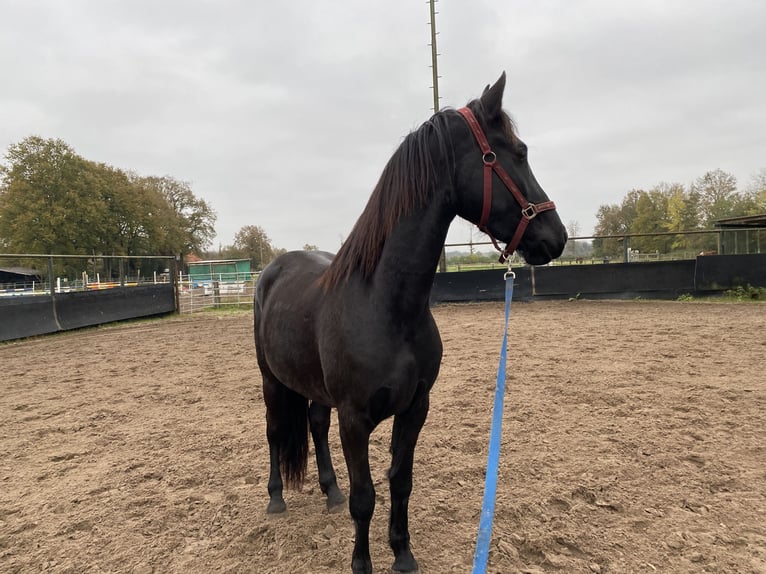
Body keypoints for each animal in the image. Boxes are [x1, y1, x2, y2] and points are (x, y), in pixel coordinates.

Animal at [255, 73, 568, 574]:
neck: (385, 305)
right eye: (517, 152)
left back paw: (329, 491)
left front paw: (403, 554)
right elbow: (366, 497)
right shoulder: (355, 420)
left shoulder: (415, 407)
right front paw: (361, 564)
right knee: (273, 431)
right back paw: (276, 499)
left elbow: (401, 482)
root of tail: (273, 270)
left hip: (314, 389)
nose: (554, 237)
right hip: (270, 380)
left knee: (315, 424)